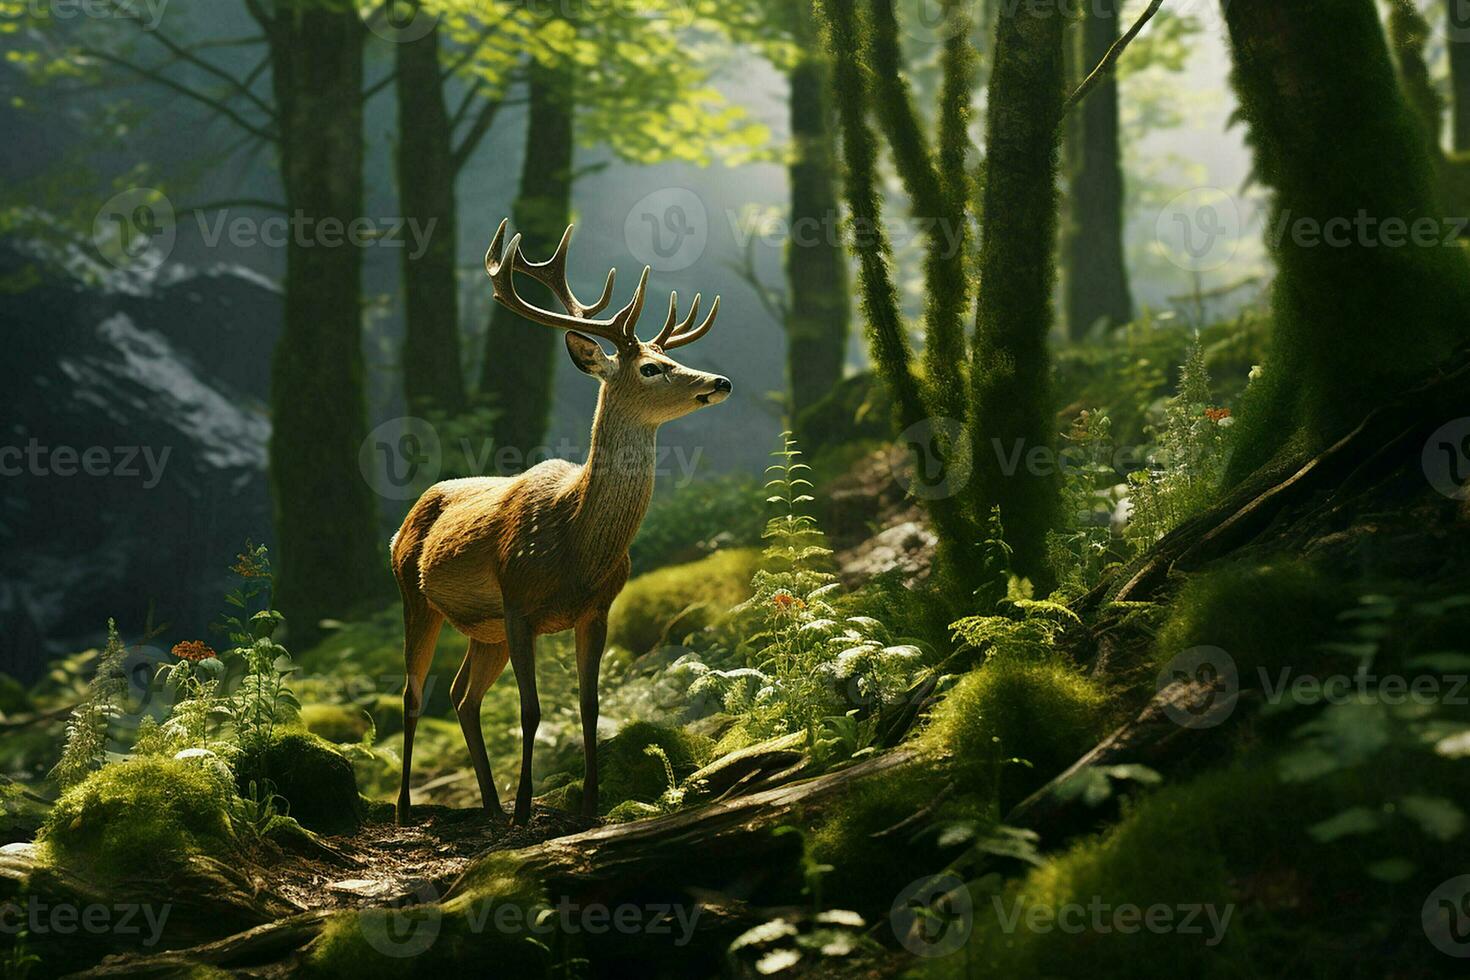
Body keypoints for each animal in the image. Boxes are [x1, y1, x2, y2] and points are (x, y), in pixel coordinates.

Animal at [393, 218, 732, 822]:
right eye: (650, 367)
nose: (719, 381)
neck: (578, 544)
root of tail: (402, 523)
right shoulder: (517, 602)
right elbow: (530, 711)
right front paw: (527, 807)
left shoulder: (596, 608)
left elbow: (589, 705)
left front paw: (590, 803)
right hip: (415, 594)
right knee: (412, 694)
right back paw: (409, 808)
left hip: (483, 629)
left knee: (461, 695)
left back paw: (490, 804)